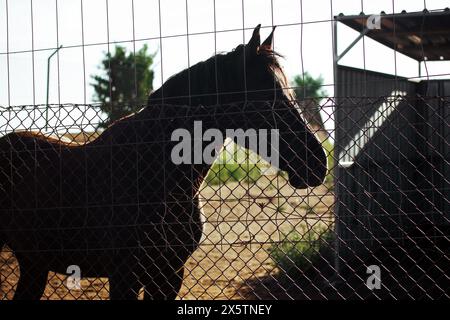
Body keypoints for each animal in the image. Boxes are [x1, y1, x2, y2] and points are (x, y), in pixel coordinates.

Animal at [0, 25, 326, 300]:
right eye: (267, 97)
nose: (318, 163)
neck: (156, 172)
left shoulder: (169, 274)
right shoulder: (125, 276)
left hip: (34, 264)